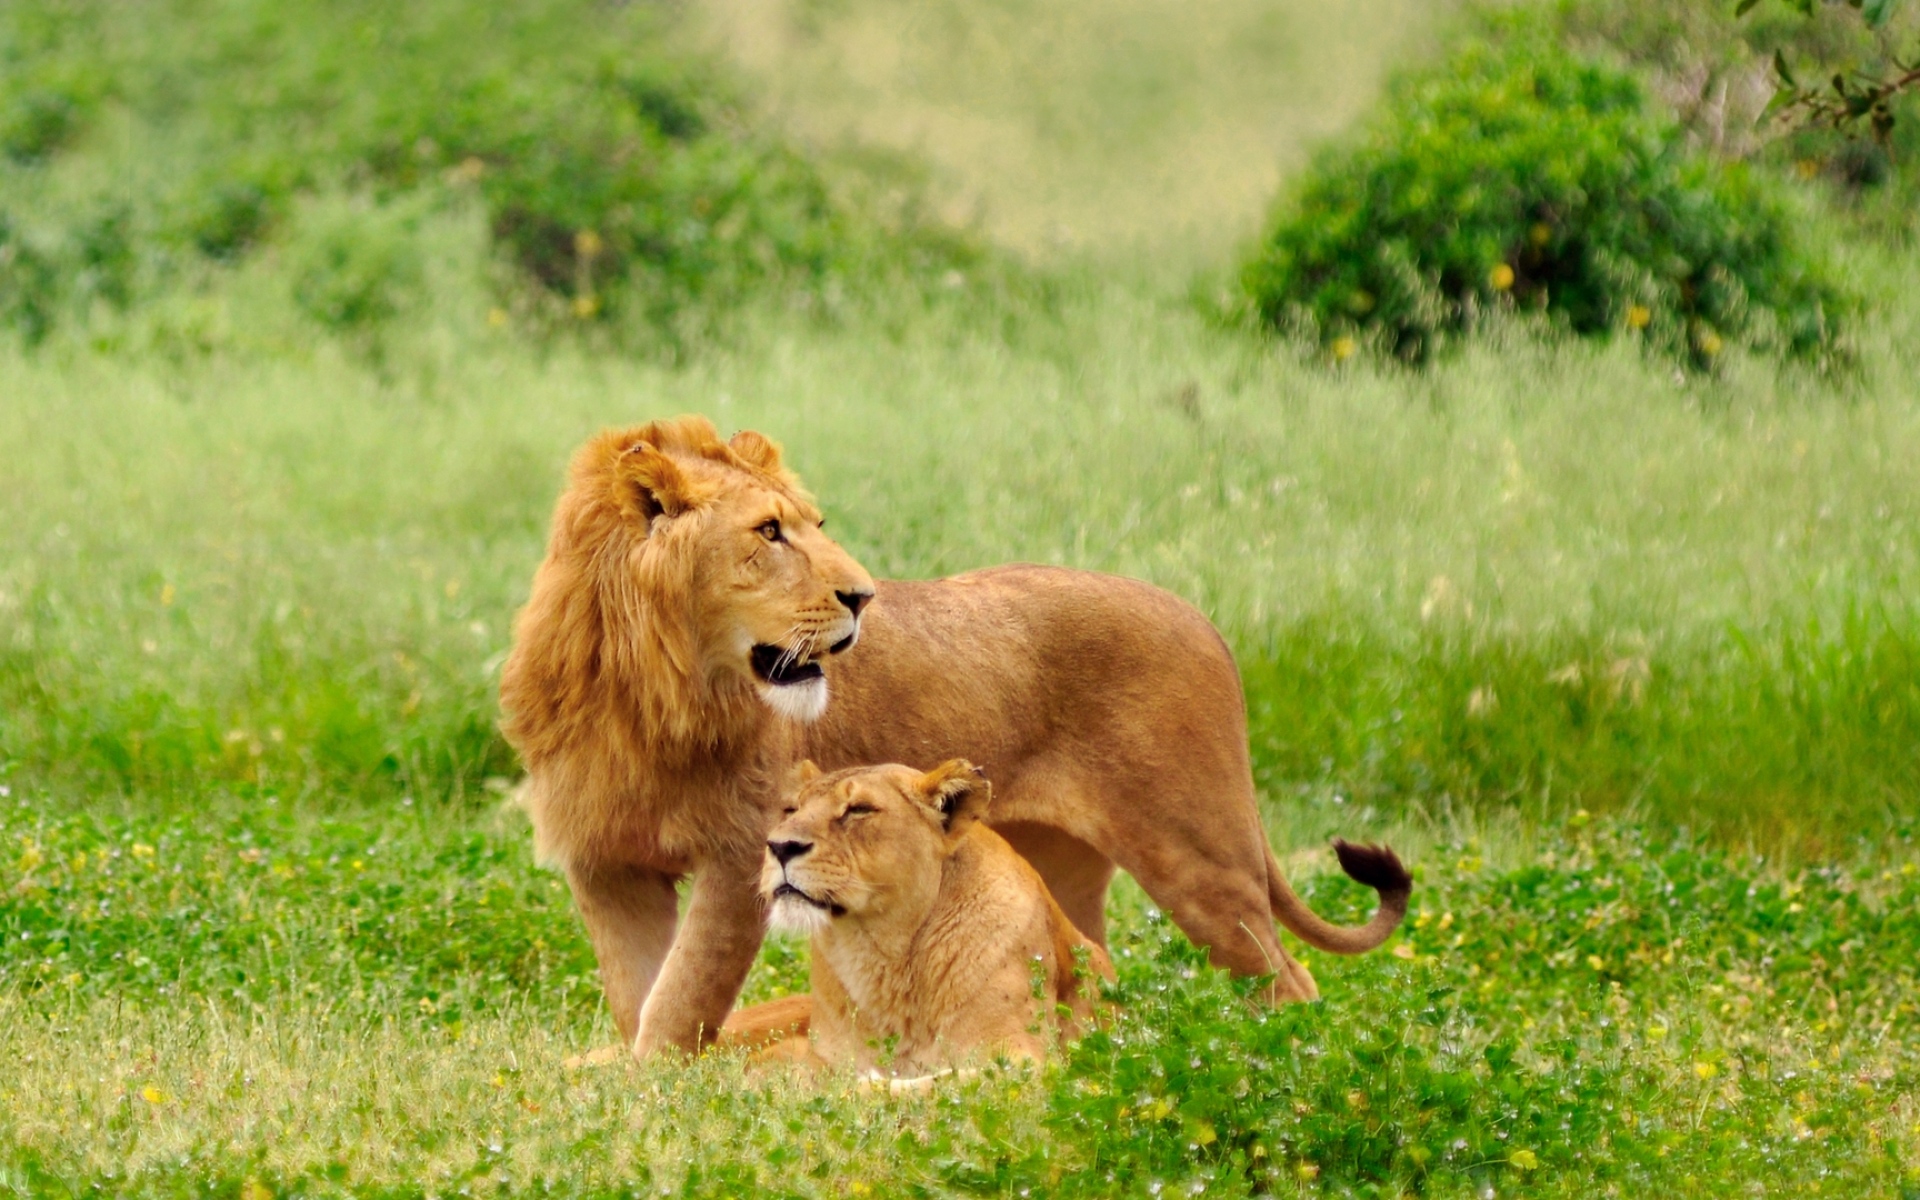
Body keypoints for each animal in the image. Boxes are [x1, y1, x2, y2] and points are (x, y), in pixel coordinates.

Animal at [500, 415, 1411, 1059]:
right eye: (768, 532)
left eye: (814, 522)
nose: (863, 596)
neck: (645, 689)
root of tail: (1204, 621)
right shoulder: (606, 863)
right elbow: (639, 996)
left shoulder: (738, 856)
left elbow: (682, 1000)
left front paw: (657, 1093)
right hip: (1062, 867)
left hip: (1199, 855)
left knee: (1290, 978)